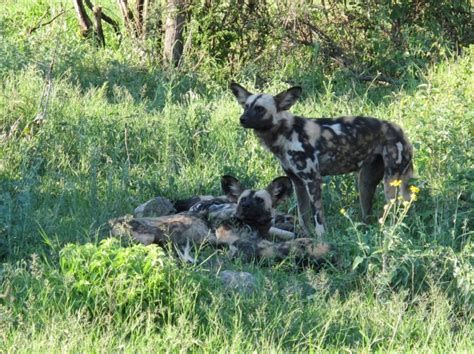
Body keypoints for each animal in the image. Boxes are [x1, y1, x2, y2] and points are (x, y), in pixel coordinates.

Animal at [231, 82, 414, 238]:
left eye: (259, 109)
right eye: (246, 106)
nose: (242, 119)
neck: (286, 133)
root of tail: (400, 130)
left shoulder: (313, 180)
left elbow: (317, 216)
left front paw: (321, 238)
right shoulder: (298, 183)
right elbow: (303, 215)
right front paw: (306, 237)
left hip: (390, 182)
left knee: (393, 210)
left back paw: (388, 232)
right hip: (365, 183)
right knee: (368, 214)